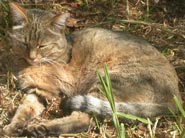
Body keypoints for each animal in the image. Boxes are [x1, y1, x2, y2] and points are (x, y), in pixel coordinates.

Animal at [1, 1, 183, 137]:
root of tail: (176, 97)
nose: (32, 57)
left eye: (42, 46)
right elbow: (24, 109)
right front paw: (13, 126)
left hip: (105, 81)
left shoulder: (58, 85)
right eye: (24, 43)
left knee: (83, 120)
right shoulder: (40, 92)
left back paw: (41, 128)